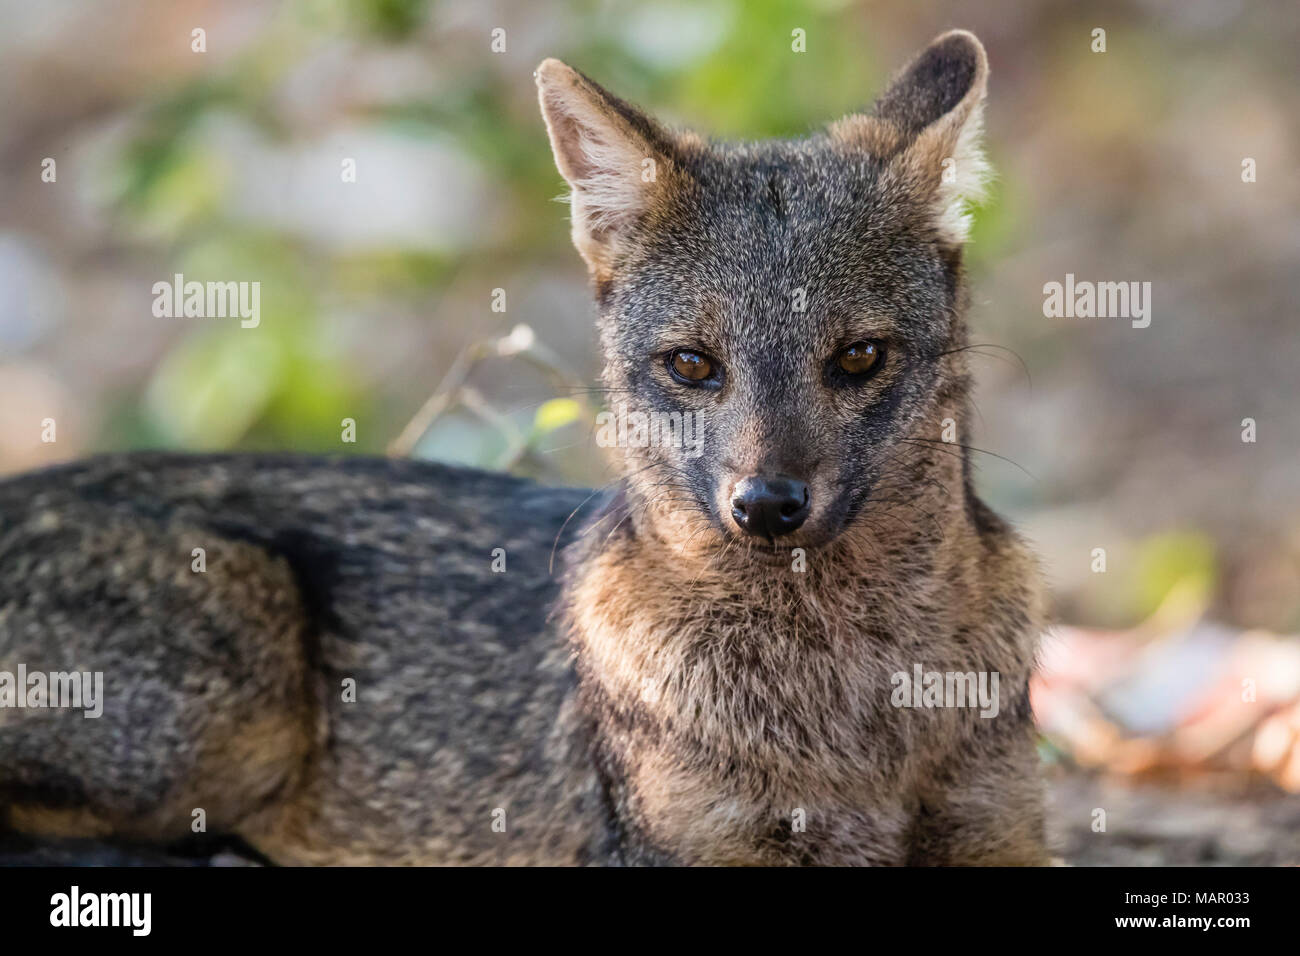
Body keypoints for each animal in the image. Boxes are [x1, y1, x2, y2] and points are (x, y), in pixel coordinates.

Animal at [0, 30, 1048, 866]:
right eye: (693, 364)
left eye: (859, 356)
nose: (767, 505)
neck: (851, 717)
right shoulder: (692, 849)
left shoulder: (996, 831)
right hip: (240, 648)